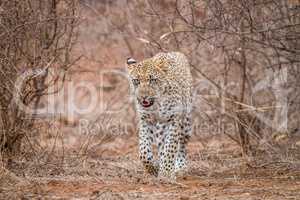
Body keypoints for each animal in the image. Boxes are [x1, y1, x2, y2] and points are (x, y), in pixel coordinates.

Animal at [126, 52, 192, 180]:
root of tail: (176, 52)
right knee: (162, 145)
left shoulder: (173, 120)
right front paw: (154, 168)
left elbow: (170, 147)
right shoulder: (146, 120)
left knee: (181, 145)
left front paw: (166, 173)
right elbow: (143, 151)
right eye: (136, 81)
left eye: (152, 80)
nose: (144, 97)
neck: (157, 103)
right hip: (161, 127)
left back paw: (180, 168)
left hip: (186, 123)